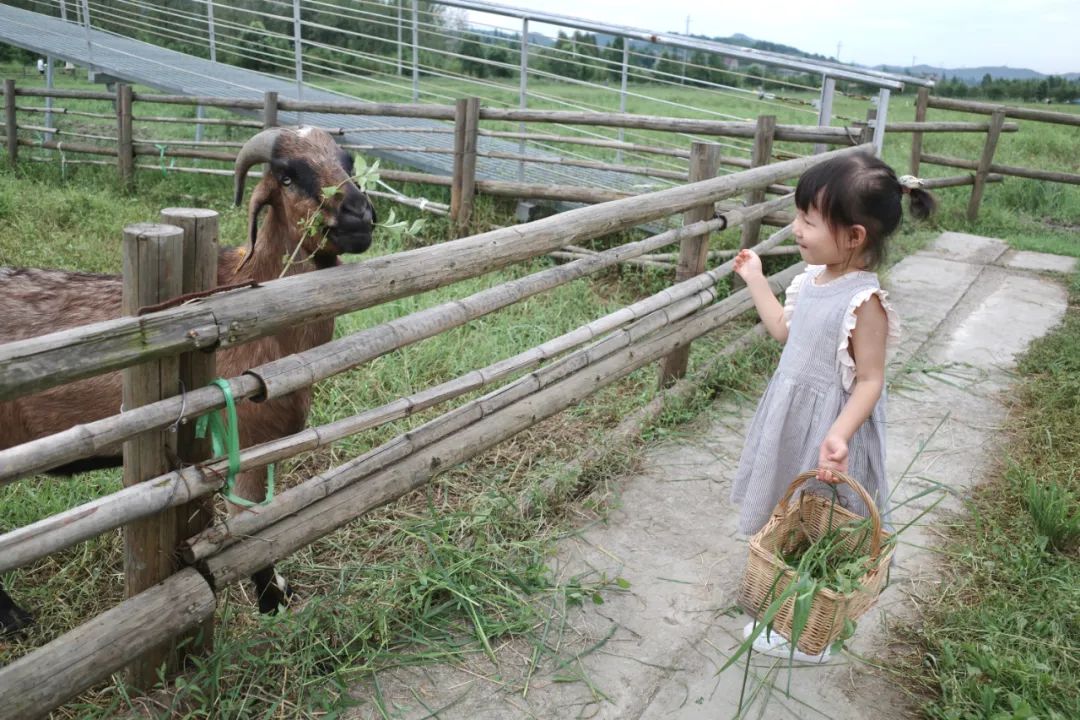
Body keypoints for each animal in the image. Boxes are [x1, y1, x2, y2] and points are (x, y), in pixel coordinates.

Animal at [0, 125, 378, 630]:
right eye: (286, 176)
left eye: (348, 162)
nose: (359, 216)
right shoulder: (246, 441)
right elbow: (251, 525)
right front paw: (271, 601)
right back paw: (13, 618)